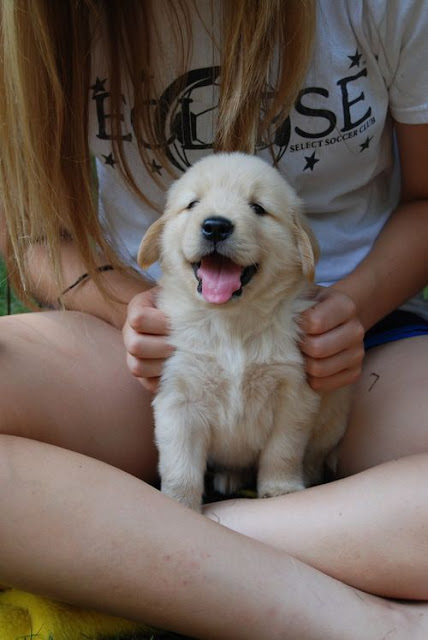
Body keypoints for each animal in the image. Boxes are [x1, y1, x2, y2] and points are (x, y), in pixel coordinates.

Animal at [139, 151, 350, 510]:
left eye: (258, 208)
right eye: (192, 204)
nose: (215, 226)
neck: (231, 323)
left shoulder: (293, 394)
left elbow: (283, 451)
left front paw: (280, 489)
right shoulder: (178, 397)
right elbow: (179, 466)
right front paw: (178, 504)